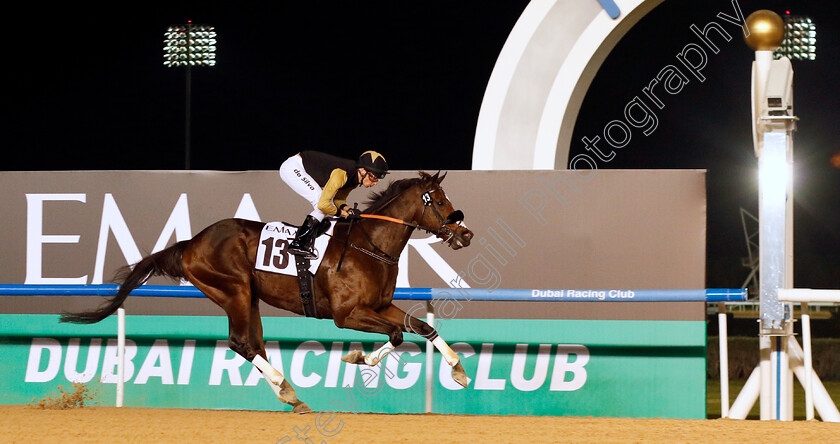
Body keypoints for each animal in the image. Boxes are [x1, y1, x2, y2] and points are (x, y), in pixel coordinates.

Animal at [60, 171, 472, 412]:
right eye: (438, 200)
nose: (465, 234)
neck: (369, 244)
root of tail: (192, 242)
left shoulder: (381, 305)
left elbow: (422, 327)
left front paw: (458, 370)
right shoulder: (346, 315)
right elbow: (398, 334)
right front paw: (359, 357)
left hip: (249, 297)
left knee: (252, 343)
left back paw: (290, 393)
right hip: (234, 290)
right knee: (241, 342)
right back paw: (287, 390)